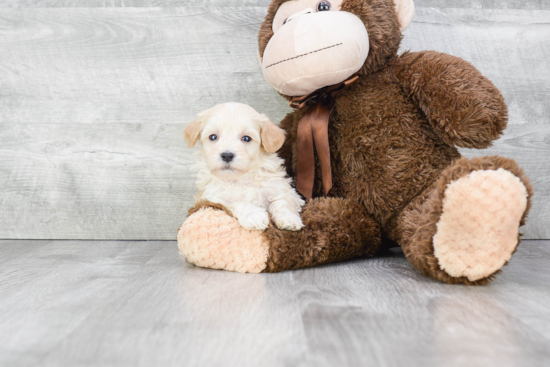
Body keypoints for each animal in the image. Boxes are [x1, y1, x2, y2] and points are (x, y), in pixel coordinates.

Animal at [185, 102, 306, 231]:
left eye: (246, 138)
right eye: (213, 137)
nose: (227, 155)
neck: (242, 178)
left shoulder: (282, 189)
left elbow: (282, 202)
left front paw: (289, 219)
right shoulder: (214, 198)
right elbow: (239, 202)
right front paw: (255, 216)